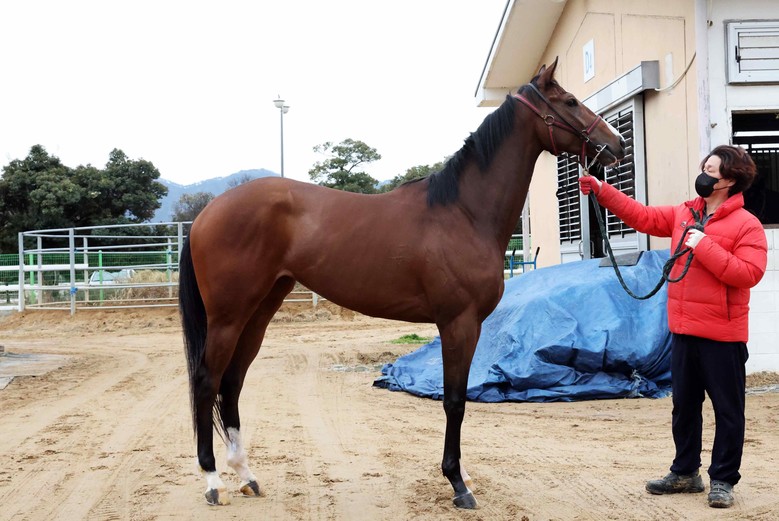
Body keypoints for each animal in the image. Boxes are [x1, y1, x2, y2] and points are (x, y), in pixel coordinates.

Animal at [179, 58, 626, 509]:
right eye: (569, 101)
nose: (617, 144)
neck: (463, 213)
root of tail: (206, 214)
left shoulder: (468, 326)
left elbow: (459, 396)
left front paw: (462, 474)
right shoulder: (458, 323)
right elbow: (454, 401)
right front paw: (457, 483)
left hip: (259, 311)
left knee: (232, 382)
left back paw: (245, 474)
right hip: (229, 316)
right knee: (207, 381)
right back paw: (213, 480)